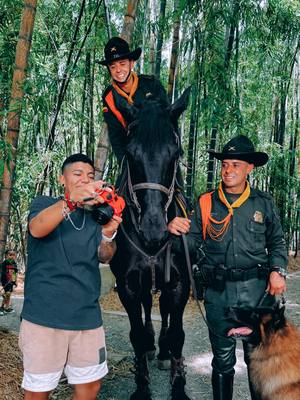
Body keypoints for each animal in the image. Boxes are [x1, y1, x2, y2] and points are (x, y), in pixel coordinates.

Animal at [109, 88, 190, 400]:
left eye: (175, 153)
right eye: (131, 154)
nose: (154, 228)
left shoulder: (179, 282)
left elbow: (177, 332)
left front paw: (178, 387)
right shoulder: (128, 285)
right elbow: (138, 335)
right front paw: (142, 386)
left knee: (164, 312)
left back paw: (164, 351)